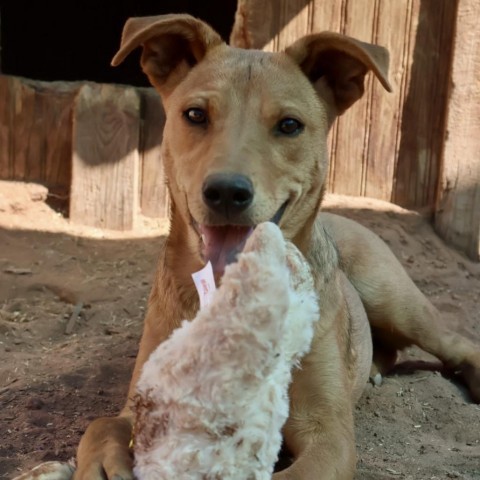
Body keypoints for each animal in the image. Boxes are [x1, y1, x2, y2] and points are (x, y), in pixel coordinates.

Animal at [74, 15, 480, 480]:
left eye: (289, 125)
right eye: (195, 114)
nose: (226, 192)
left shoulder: (328, 434)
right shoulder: (147, 399)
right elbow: (101, 425)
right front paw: (104, 464)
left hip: (395, 299)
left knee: (455, 341)